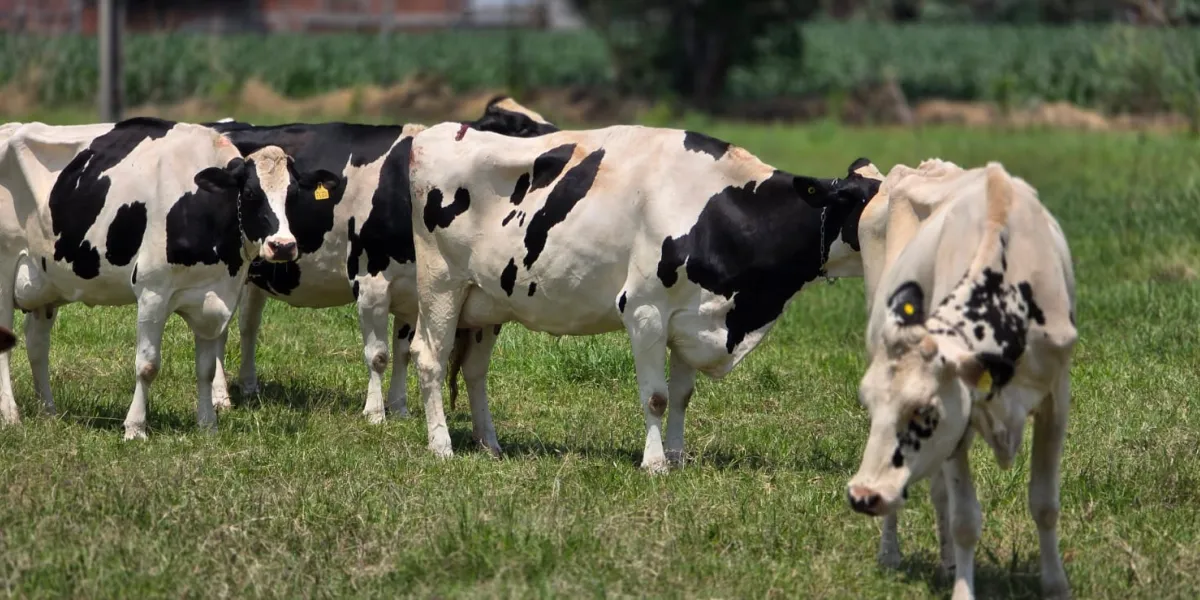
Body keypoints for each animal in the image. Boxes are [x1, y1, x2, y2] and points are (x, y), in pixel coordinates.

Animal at [0, 116, 337, 438]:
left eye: (293, 194)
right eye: (252, 193)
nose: (283, 246)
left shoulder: (217, 295)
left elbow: (206, 369)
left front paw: (208, 426)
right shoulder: (153, 293)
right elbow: (147, 365)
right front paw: (135, 428)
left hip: (46, 283)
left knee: (37, 346)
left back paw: (49, 412)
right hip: (4, 274)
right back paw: (11, 415)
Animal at [206, 96, 558, 425]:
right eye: (521, 131)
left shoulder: (413, 287)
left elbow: (404, 352)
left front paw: (399, 408)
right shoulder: (370, 281)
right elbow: (378, 355)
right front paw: (375, 414)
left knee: (248, 325)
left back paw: (249, 387)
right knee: (220, 329)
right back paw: (221, 397)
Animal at [405, 122, 881, 469]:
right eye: (865, 201)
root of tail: (431, 133)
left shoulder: (692, 318)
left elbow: (683, 395)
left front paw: (678, 457)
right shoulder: (645, 311)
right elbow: (657, 395)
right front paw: (654, 464)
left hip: (485, 301)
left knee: (474, 370)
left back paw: (490, 445)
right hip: (440, 287)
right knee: (428, 358)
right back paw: (441, 446)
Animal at [846, 162, 1076, 600]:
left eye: (924, 410)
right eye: (868, 404)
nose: (862, 496)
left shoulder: (1055, 400)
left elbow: (1045, 504)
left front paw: (1056, 585)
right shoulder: (960, 419)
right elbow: (964, 518)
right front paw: (963, 591)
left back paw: (947, 562)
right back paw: (892, 552)